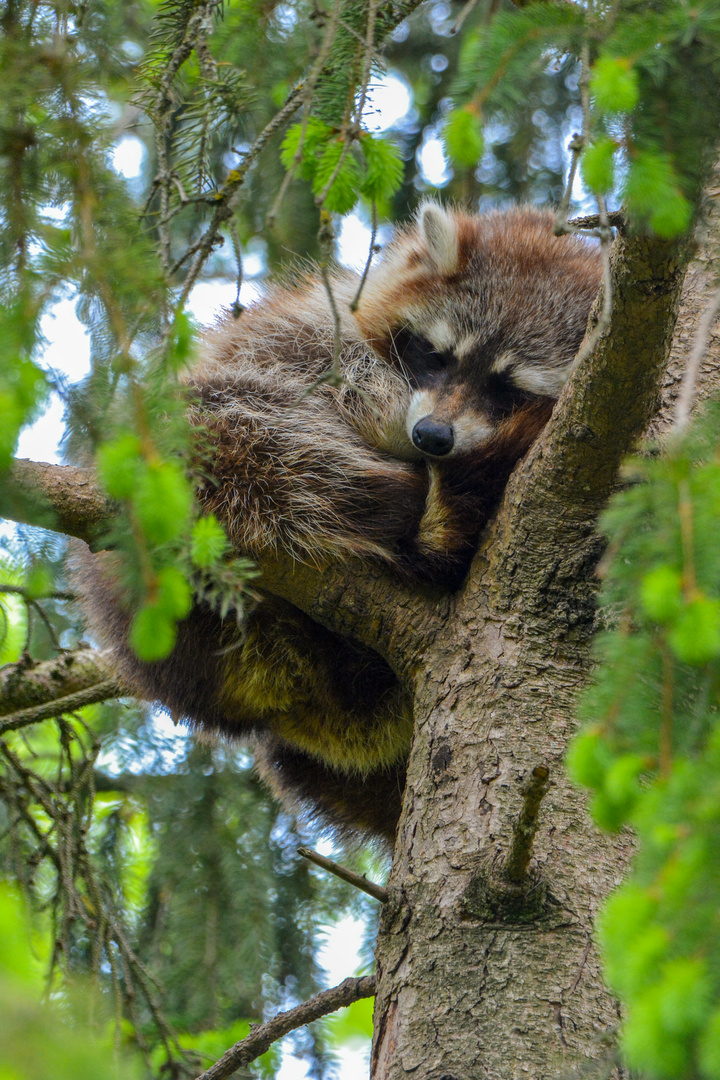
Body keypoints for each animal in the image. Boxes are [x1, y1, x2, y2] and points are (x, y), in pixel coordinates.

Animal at [80, 203, 604, 842]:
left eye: (508, 388)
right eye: (438, 355)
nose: (432, 437)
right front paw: (385, 410)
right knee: (221, 423)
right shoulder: (304, 324)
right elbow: (321, 366)